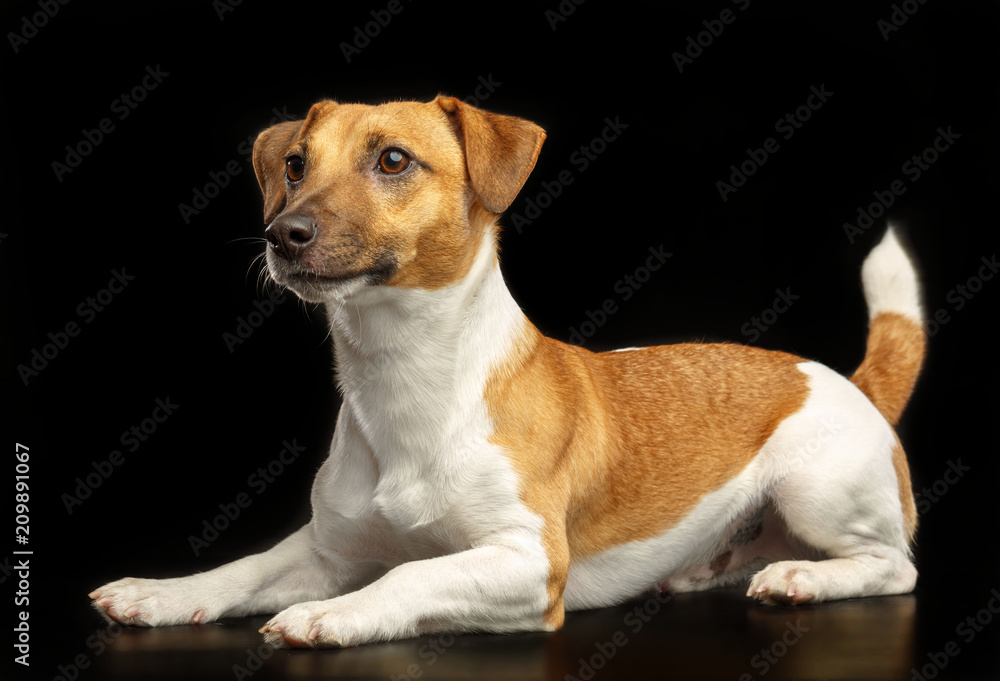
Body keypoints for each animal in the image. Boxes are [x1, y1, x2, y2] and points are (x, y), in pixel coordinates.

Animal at [90, 95, 924, 648]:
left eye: (393, 160)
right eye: (294, 165)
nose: (280, 233)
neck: (406, 383)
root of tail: (847, 380)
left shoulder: (526, 561)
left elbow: (410, 575)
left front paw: (333, 614)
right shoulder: (327, 550)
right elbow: (243, 568)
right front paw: (160, 593)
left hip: (817, 489)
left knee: (893, 566)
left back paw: (806, 578)